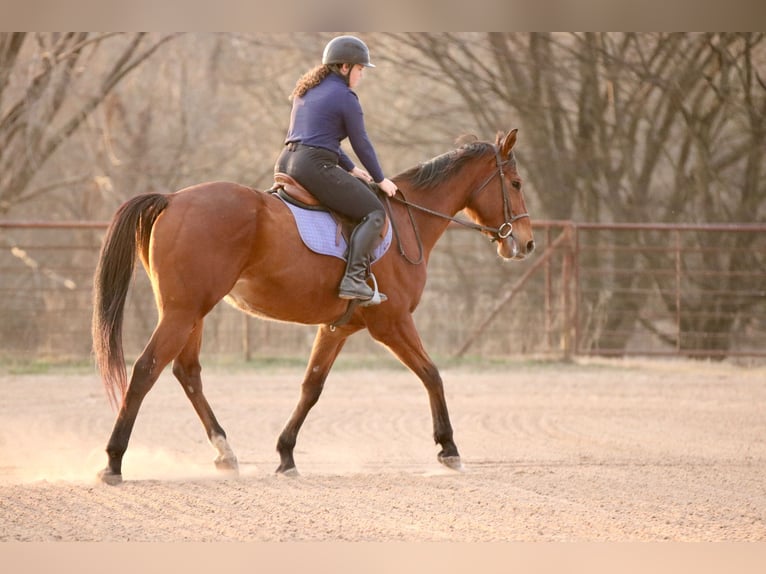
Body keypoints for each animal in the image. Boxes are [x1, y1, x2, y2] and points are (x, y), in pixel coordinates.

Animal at [92, 128, 535, 484]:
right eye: (514, 182)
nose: (527, 243)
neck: (407, 220)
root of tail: (172, 198)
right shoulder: (392, 323)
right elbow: (432, 374)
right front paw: (448, 449)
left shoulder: (338, 327)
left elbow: (312, 386)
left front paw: (286, 455)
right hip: (182, 313)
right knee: (146, 370)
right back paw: (113, 461)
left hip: (191, 314)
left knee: (187, 373)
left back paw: (225, 452)